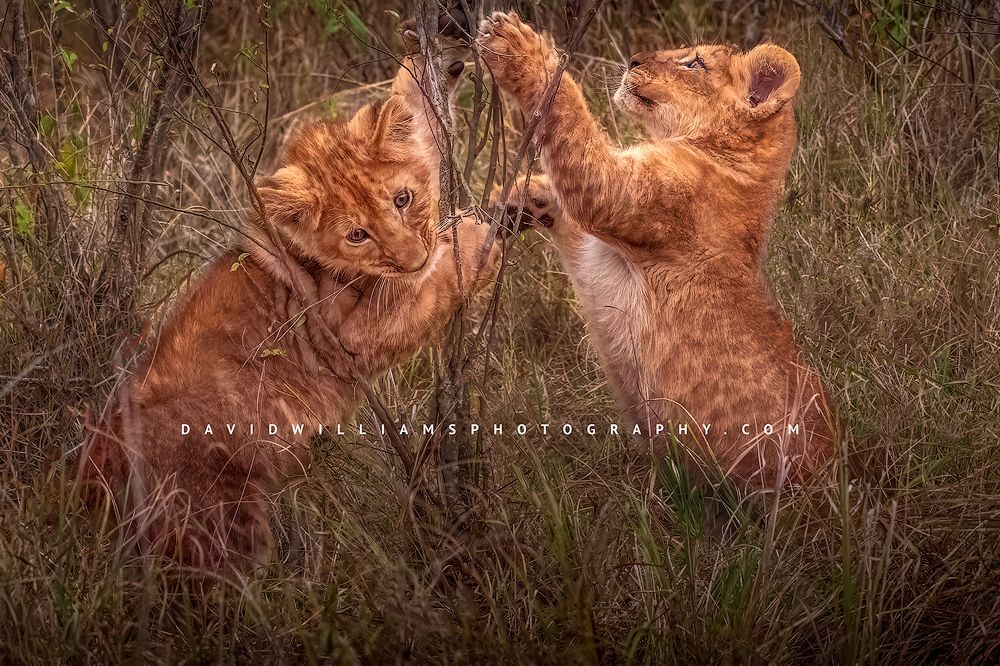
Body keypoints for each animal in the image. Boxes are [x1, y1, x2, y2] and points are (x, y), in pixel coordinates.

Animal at [79, 52, 498, 573]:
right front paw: (482, 232)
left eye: (403, 199)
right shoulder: (349, 338)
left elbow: (418, 118)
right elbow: (437, 286)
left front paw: (432, 65)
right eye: (357, 235)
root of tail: (88, 488)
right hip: (218, 526)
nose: (412, 258)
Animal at [479, 12, 833, 487]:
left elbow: (571, 122)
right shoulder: (599, 249)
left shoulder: (620, 194)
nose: (633, 59)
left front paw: (522, 47)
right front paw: (522, 197)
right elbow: (570, 212)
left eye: (694, 63)